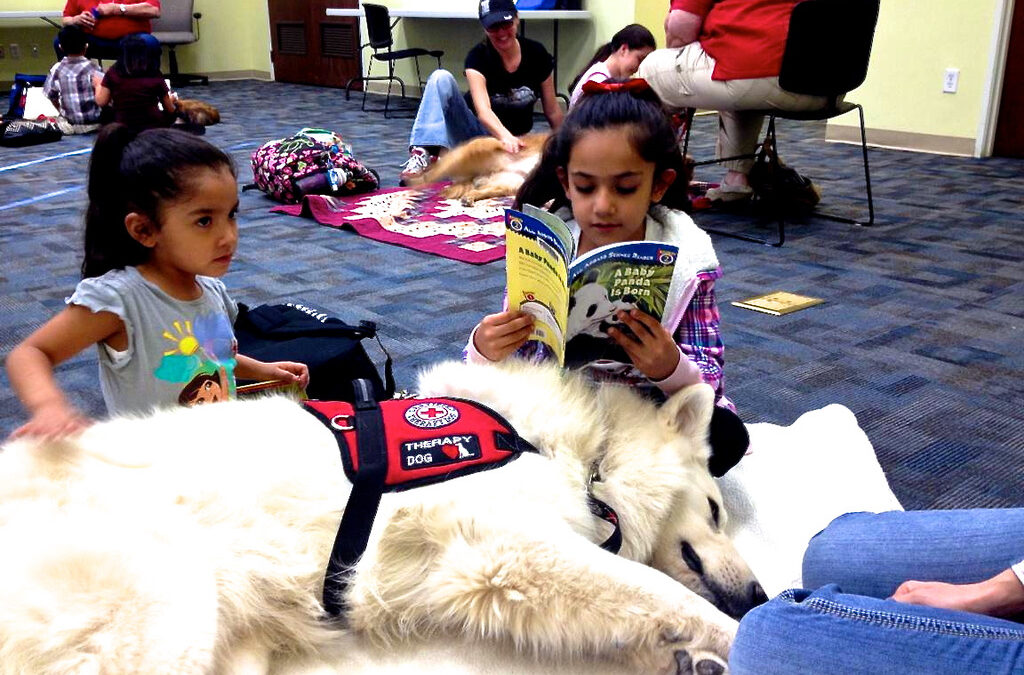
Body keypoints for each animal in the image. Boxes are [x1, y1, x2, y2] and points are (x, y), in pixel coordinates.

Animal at [0, 360, 761, 674]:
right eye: (715, 509)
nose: (759, 591)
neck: (583, 454)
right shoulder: (508, 550)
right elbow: (659, 592)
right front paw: (738, 636)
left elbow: (643, 606)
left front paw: (683, 655)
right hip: (167, 607)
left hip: (231, 634)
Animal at [407, 132, 549, 204]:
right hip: (473, 151)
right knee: (433, 173)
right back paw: (413, 182)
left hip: (510, 184)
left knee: (482, 191)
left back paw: (469, 198)